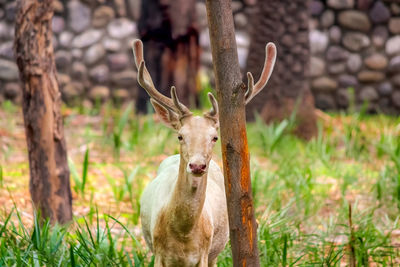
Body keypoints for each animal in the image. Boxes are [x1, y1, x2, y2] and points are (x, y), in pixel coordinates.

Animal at [133, 38, 276, 266]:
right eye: (180, 136)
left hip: (214, 253)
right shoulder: (158, 254)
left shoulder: (202, 255)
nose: (197, 165)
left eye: (214, 137)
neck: (183, 235)